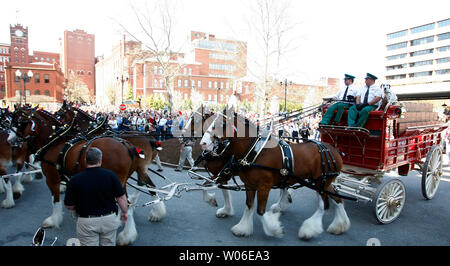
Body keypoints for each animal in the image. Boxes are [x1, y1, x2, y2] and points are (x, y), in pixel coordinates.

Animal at [8, 107, 142, 245]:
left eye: (20, 121)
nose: (10, 140)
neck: (55, 140)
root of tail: (127, 146)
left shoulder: (52, 178)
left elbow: (55, 199)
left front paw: (53, 220)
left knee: (127, 204)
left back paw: (126, 235)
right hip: (121, 182)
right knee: (128, 203)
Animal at [200, 109, 352, 240]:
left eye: (220, 124)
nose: (203, 143)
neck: (256, 151)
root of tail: (335, 150)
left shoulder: (264, 186)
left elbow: (260, 211)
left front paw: (274, 229)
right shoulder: (249, 184)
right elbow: (249, 206)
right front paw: (243, 228)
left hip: (320, 183)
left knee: (323, 206)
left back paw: (309, 230)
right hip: (323, 183)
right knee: (338, 199)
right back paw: (340, 225)